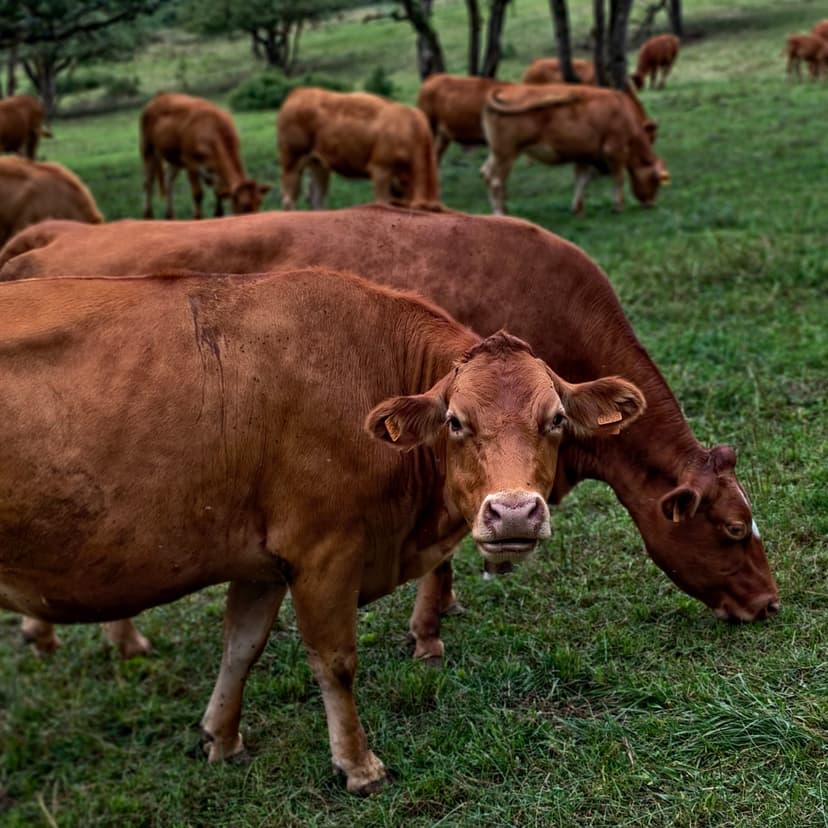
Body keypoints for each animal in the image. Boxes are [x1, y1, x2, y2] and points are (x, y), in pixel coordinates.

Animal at [0, 266, 645, 792]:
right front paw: (357, 764)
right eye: (456, 421)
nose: (513, 512)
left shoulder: (261, 560)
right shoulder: (322, 553)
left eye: (554, 419)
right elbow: (335, 662)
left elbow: (240, 647)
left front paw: (222, 738)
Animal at [140, 92, 271, 220]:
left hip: (175, 158)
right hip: (148, 148)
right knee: (148, 183)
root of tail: (161, 95)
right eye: (244, 206)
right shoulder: (190, 162)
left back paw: (170, 216)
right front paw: (198, 218)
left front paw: (218, 216)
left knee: (168, 182)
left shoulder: (215, 169)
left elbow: (218, 193)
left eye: (259, 202)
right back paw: (148, 216)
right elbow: (198, 194)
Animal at [277, 87, 441, 210]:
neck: (409, 129)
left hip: (318, 165)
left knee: (316, 199)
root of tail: (298, 92)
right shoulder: (380, 171)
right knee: (289, 200)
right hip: (292, 162)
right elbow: (382, 202)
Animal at [480, 84, 670, 215]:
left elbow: (581, 180)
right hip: (507, 154)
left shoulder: (584, 155)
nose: (651, 203)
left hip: (497, 153)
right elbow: (618, 178)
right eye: (656, 181)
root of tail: (506, 90)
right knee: (496, 181)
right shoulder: (614, 150)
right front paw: (619, 206)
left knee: (487, 173)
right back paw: (500, 213)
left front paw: (578, 209)